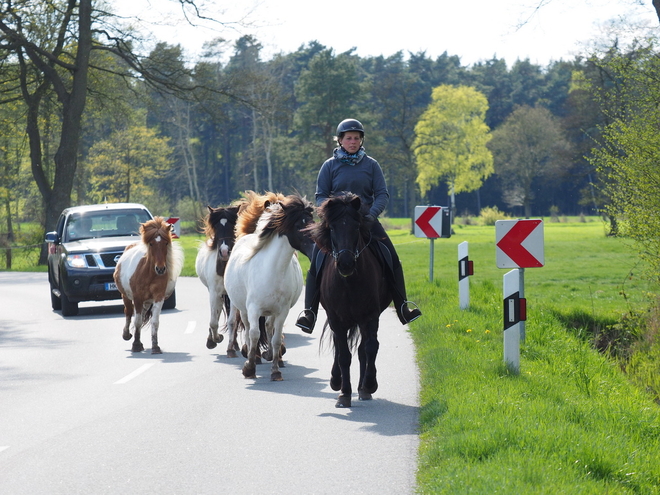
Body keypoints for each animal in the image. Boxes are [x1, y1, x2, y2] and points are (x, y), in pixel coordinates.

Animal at [226, 194, 316, 380]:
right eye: (299, 225)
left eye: (312, 221)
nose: (316, 249)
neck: (272, 270)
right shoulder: (253, 309)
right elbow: (254, 334)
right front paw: (249, 368)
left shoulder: (282, 311)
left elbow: (275, 338)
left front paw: (275, 371)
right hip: (243, 309)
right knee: (248, 329)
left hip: (271, 311)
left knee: (269, 327)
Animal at [306, 192, 392, 408]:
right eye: (332, 228)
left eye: (355, 227)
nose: (345, 264)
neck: (349, 282)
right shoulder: (336, 319)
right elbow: (344, 355)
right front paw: (343, 393)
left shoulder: (370, 316)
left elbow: (370, 348)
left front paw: (369, 384)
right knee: (340, 348)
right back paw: (337, 381)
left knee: (363, 349)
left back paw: (363, 389)